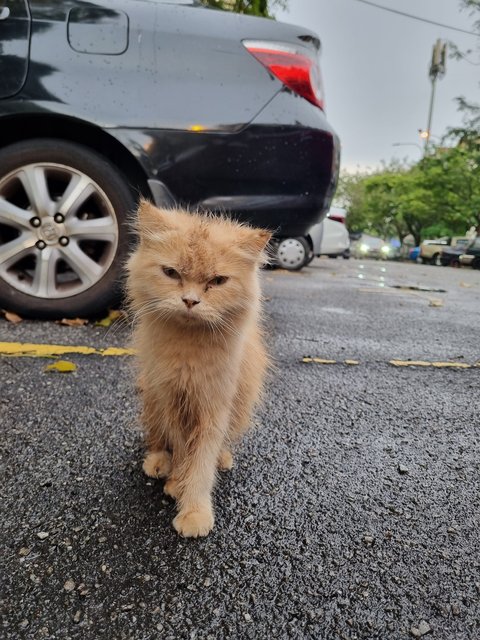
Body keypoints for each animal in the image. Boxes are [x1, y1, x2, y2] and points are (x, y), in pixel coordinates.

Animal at [125, 200, 272, 536]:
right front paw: (177, 483)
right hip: (151, 401)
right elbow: (181, 451)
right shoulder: (171, 399)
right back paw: (158, 464)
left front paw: (194, 511)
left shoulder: (214, 407)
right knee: (157, 440)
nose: (190, 301)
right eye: (171, 273)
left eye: (217, 281)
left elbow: (201, 462)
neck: (188, 350)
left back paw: (223, 459)